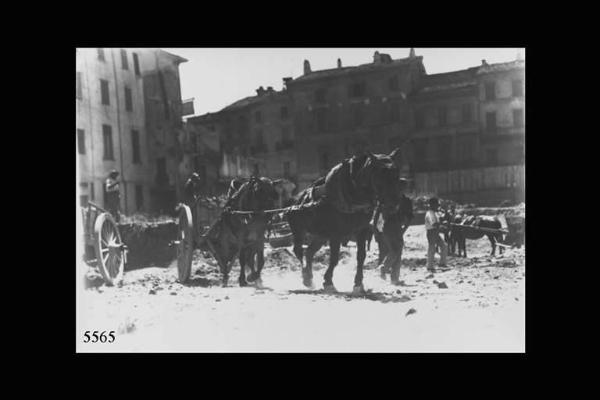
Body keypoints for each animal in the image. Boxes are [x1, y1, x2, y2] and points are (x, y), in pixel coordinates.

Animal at [284, 148, 404, 296]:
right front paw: (328, 282)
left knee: (309, 252)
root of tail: (294, 201)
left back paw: (309, 276)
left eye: (396, 173)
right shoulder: (336, 233)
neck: (353, 194)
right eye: (380, 174)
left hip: (321, 235)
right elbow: (334, 258)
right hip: (298, 230)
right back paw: (306, 277)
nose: (393, 203)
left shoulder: (361, 230)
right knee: (298, 250)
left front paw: (358, 284)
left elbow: (361, 256)